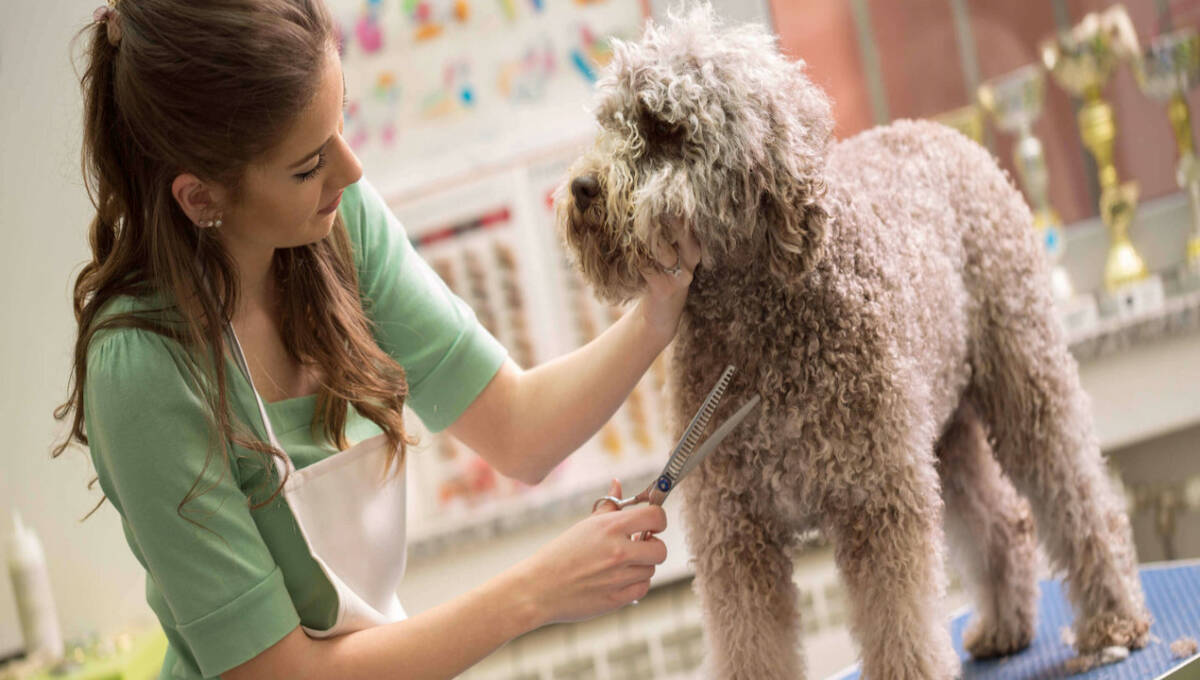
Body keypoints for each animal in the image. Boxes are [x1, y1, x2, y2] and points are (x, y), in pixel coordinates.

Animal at [552, 6, 1152, 680]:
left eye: (662, 126)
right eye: (609, 122)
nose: (581, 188)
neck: (758, 330)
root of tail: (941, 134)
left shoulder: (877, 499)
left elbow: (900, 621)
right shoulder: (733, 528)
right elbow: (749, 640)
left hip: (1024, 383)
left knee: (1080, 501)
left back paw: (1112, 620)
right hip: (942, 435)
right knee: (1003, 521)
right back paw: (1004, 626)